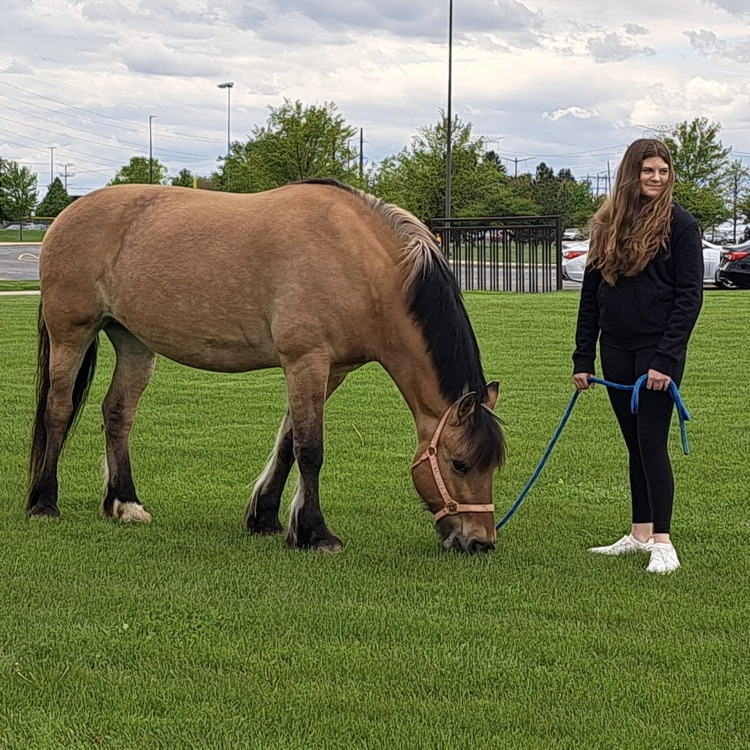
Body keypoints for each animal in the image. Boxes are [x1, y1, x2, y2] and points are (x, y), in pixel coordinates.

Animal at [27, 179, 505, 553]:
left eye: (493, 465)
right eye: (459, 463)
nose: (479, 541)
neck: (358, 262)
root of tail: (66, 215)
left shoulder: (330, 370)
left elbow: (288, 442)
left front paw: (266, 518)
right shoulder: (306, 360)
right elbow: (310, 449)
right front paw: (316, 533)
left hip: (133, 342)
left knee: (118, 414)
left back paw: (125, 503)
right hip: (71, 334)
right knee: (58, 410)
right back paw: (43, 502)